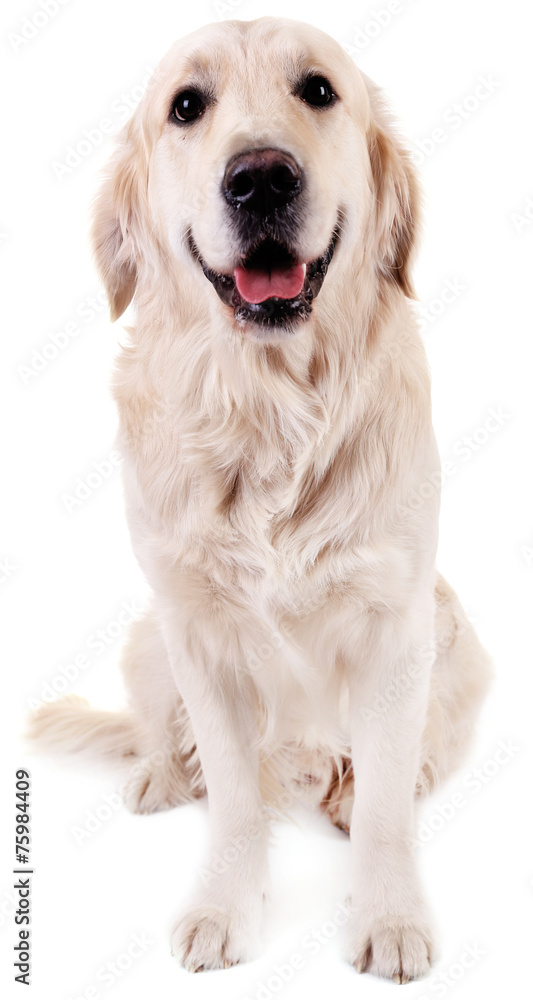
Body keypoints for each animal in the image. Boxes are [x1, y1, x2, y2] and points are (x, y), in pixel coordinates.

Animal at [30, 15, 490, 984]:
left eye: (317, 90)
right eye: (186, 107)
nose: (261, 177)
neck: (269, 411)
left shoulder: (397, 628)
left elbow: (386, 805)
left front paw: (389, 913)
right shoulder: (198, 635)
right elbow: (236, 797)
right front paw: (223, 907)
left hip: (456, 639)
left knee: (409, 757)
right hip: (147, 638)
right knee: (162, 734)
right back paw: (162, 776)